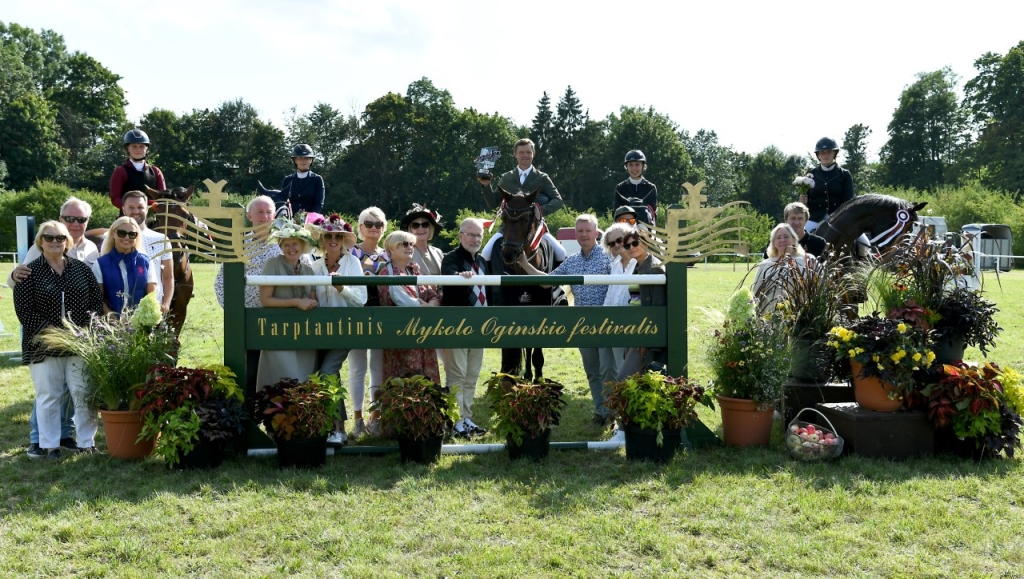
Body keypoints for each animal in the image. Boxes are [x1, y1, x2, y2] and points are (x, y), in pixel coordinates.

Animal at [487, 187, 561, 381]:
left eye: (526, 219)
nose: (508, 254)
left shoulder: (542, 304)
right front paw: (509, 372)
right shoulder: (507, 303)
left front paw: (538, 375)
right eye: (504, 218)